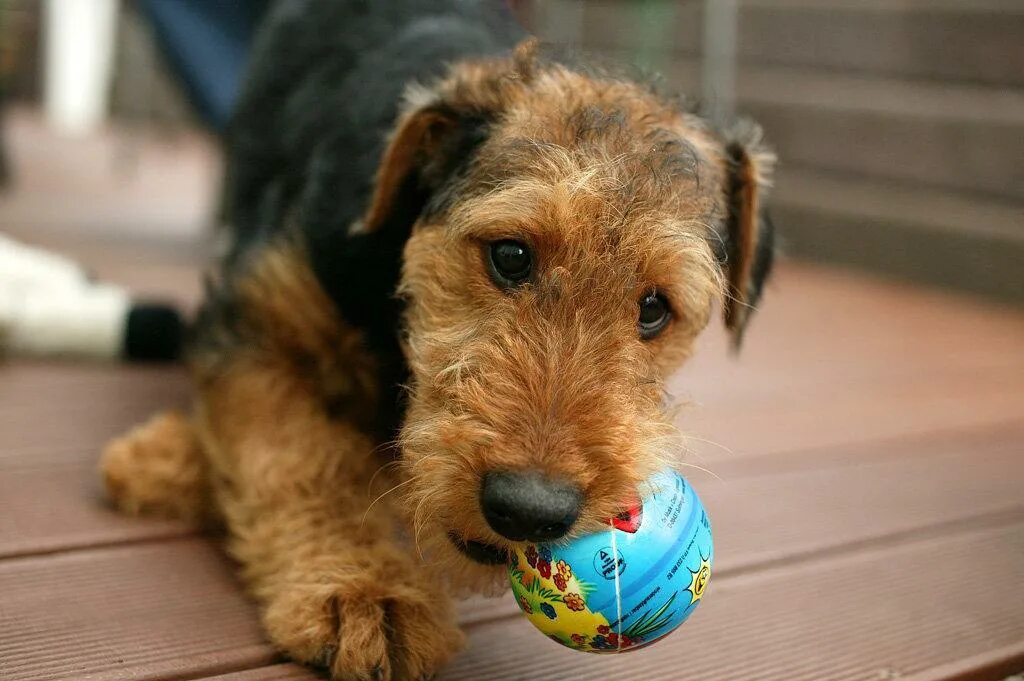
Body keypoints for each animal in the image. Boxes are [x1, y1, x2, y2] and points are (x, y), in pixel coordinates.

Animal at [101, 2, 774, 675]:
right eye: (509, 255)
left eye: (655, 308)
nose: (529, 509)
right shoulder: (259, 324)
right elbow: (299, 457)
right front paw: (364, 593)